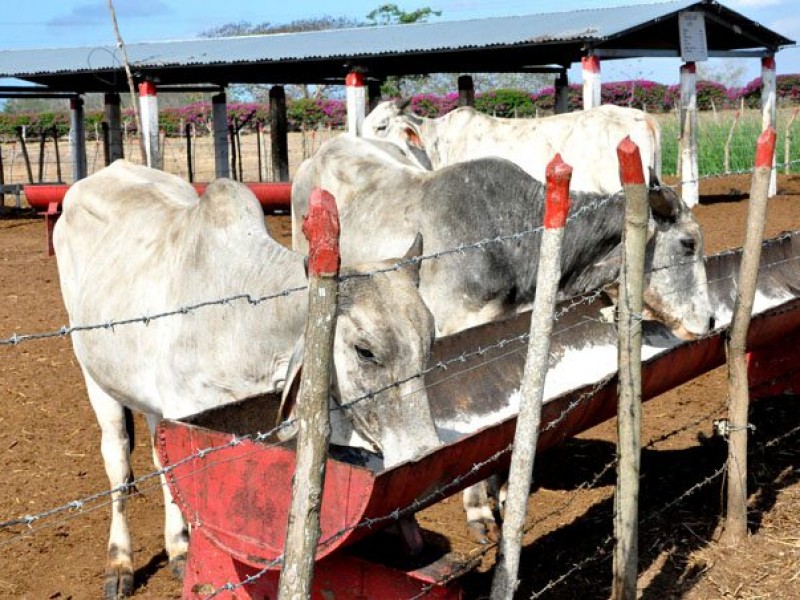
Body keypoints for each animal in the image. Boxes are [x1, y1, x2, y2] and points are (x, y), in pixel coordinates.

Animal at [53, 159, 440, 600]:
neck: (247, 319)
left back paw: (177, 547)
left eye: (429, 341)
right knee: (118, 461)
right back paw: (119, 562)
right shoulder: (188, 418)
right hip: (93, 373)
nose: (424, 451)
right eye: (365, 351)